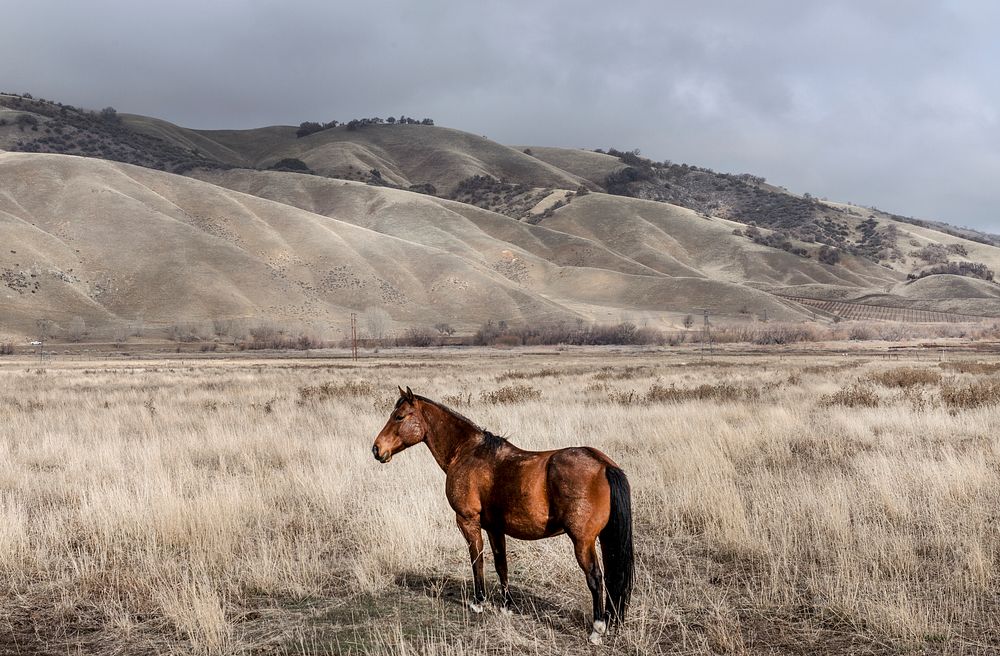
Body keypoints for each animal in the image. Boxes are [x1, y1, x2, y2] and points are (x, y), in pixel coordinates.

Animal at [368, 386, 632, 644]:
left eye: (399, 417)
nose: (376, 449)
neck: (466, 452)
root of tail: (604, 465)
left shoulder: (468, 521)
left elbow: (477, 560)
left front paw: (479, 602)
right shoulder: (495, 528)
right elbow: (501, 564)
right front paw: (506, 605)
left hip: (582, 541)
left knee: (595, 578)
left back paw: (597, 629)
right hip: (604, 538)